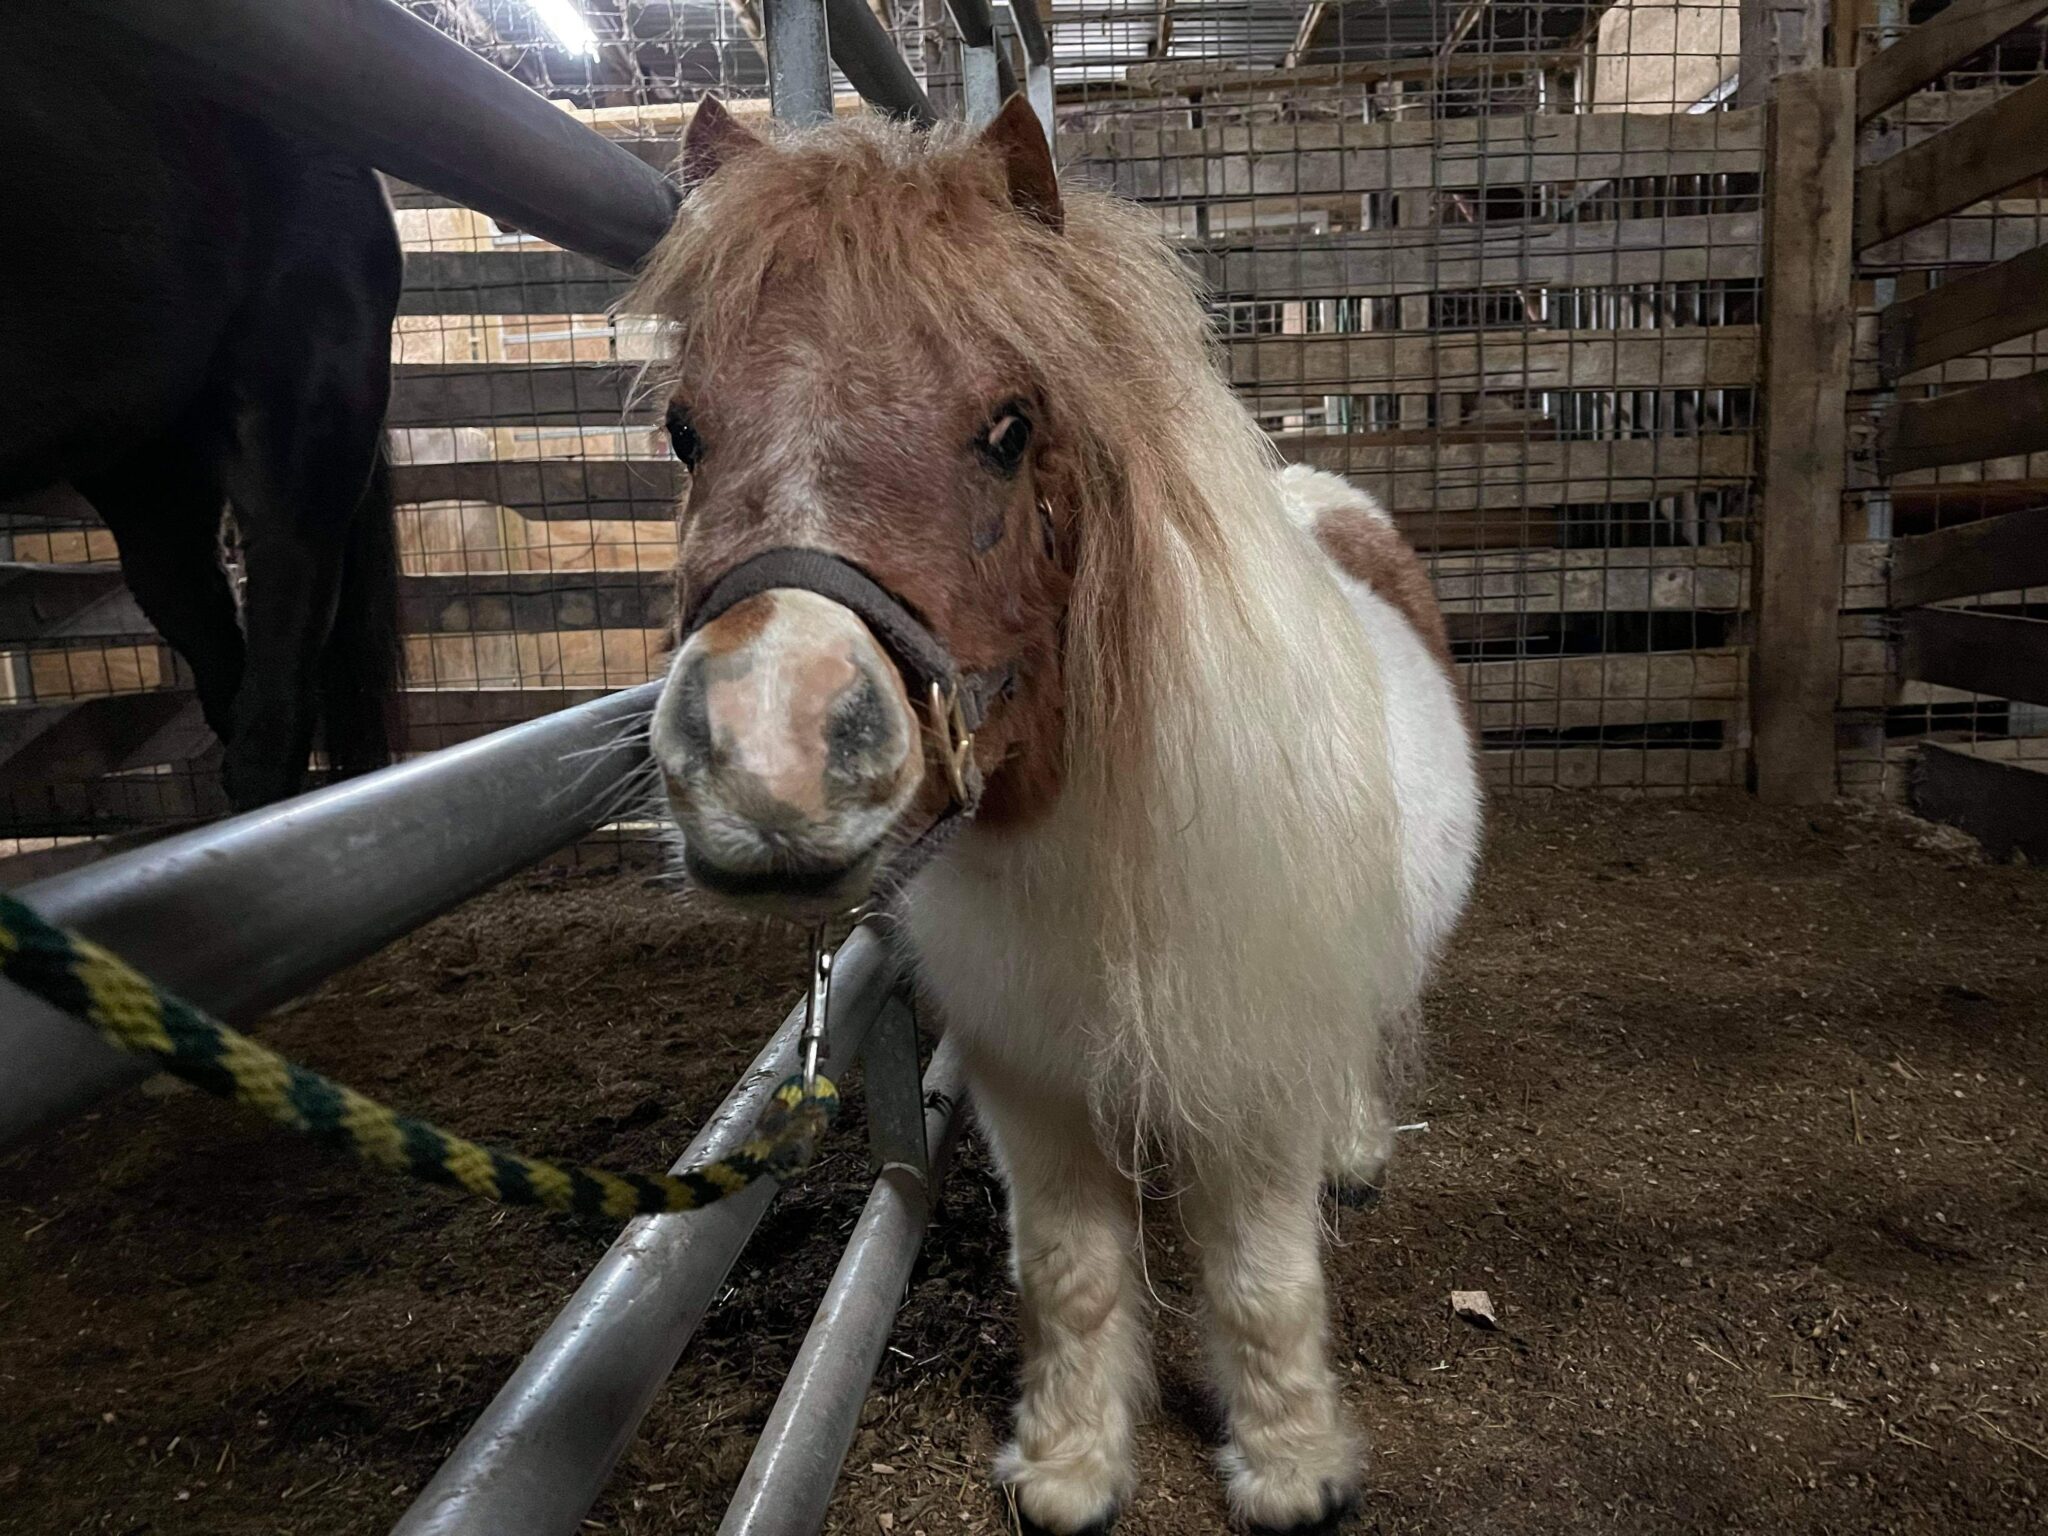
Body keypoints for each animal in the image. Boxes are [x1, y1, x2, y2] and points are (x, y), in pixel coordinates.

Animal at [636, 96, 1482, 1532]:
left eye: (1009, 425)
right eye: (687, 430)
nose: (767, 754)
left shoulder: (1250, 1075)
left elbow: (1262, 1279)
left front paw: (1291, 1469)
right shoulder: (1029, 1085)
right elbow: (1074, 1276)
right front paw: (1071, 1467)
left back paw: (1355, 1153)